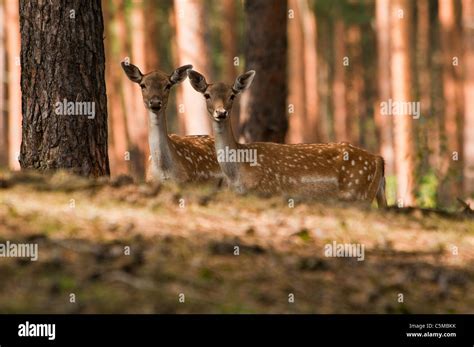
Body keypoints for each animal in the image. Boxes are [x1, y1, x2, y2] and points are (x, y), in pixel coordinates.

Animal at [187, 69, 386, 208]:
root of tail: (379, 159)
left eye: (232, 95)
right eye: (207, 95)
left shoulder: (268, 192)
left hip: (358, 194)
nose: (221, 113)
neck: (238, 173)